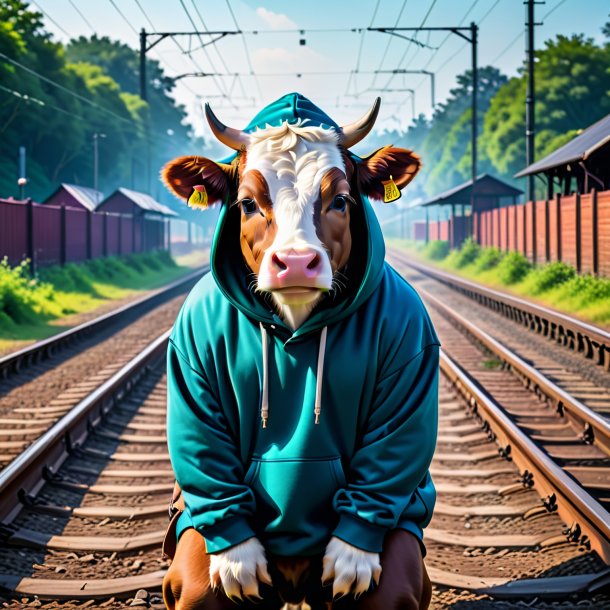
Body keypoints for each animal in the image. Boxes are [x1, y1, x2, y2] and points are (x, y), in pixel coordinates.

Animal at [159, 91, 440, 608]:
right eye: (248, 203)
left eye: (341, 200)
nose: (294, 262)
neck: (296, 325)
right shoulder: (189, 343)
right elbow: (201, 435)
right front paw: (236, 558)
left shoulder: (411, 336)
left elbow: (397, 442)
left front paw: (354, 554)